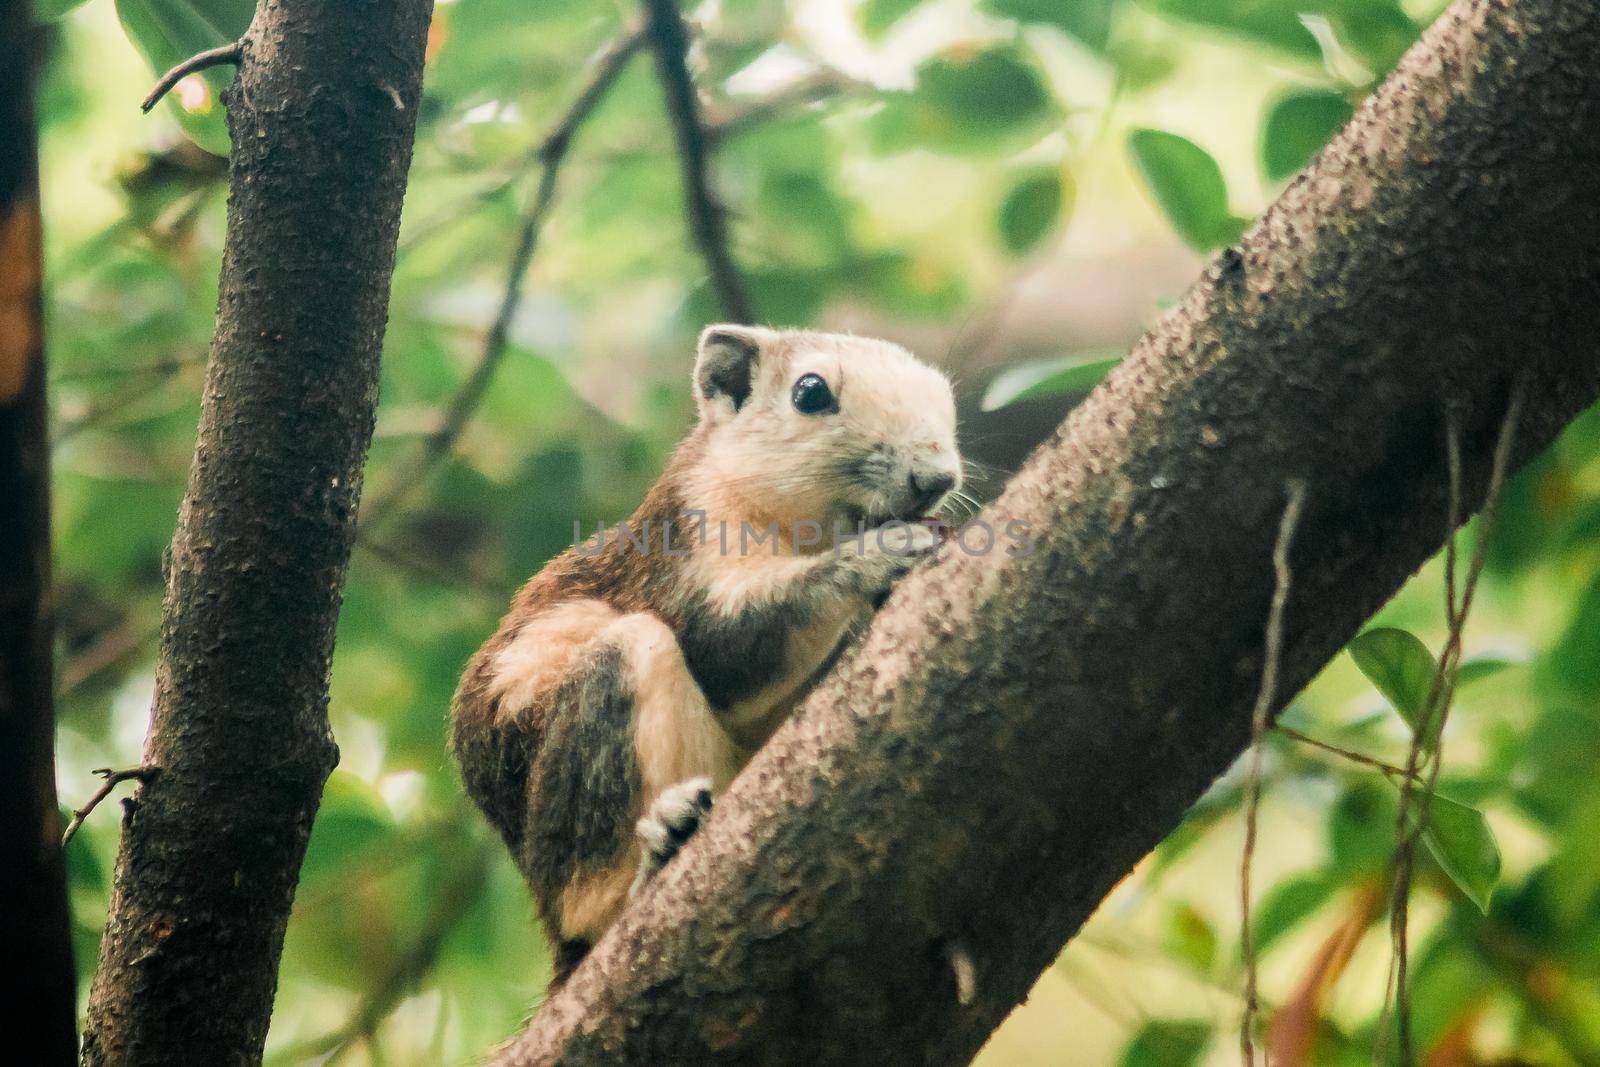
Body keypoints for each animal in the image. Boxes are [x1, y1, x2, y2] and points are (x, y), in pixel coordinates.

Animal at [451, 326, 953, 985]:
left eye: (946, 394)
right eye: (810, 392)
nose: (938, 478)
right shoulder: (682, 543)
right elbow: (723, 649)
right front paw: (875, 555)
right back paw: (651, 860)